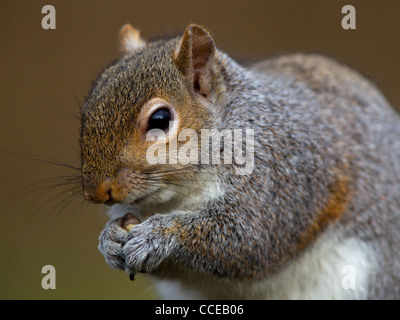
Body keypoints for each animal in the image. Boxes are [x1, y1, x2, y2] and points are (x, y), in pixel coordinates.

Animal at [79, 23, 400, 298]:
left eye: (160, 119)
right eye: (87, 110)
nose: (98, 192)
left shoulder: (280, 173)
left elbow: (247, 238)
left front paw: (158, 234)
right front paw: (109, 239)